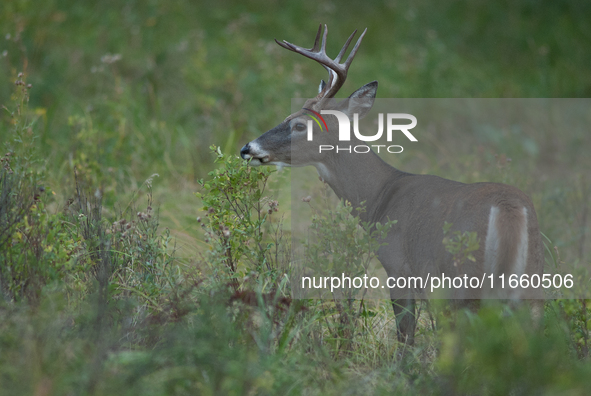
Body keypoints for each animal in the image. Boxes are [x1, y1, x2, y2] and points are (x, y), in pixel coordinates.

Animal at [238, 26, 544, 344]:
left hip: (465, 280)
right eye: (287, 117)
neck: (379, 198)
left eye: (299, 125)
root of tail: (509, 210)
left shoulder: (397, 266)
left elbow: (405, 336)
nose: (247, 148)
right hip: (532, 282)